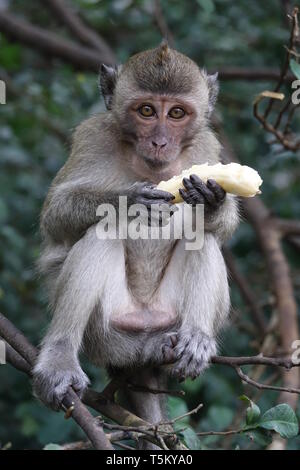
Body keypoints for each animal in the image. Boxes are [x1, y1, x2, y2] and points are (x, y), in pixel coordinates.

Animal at [32, 43, 239, 426]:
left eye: (176, 113)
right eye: (146, 110)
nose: (159, 141)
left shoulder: (206, 147)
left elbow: (219, 227)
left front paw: (211, 199)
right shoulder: (92, 136)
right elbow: (56, 214)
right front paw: (129, 200)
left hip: (167, 319)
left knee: (202, 237)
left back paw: (195, 338)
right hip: (106, 334)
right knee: (101, 232)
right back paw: (59, 359)